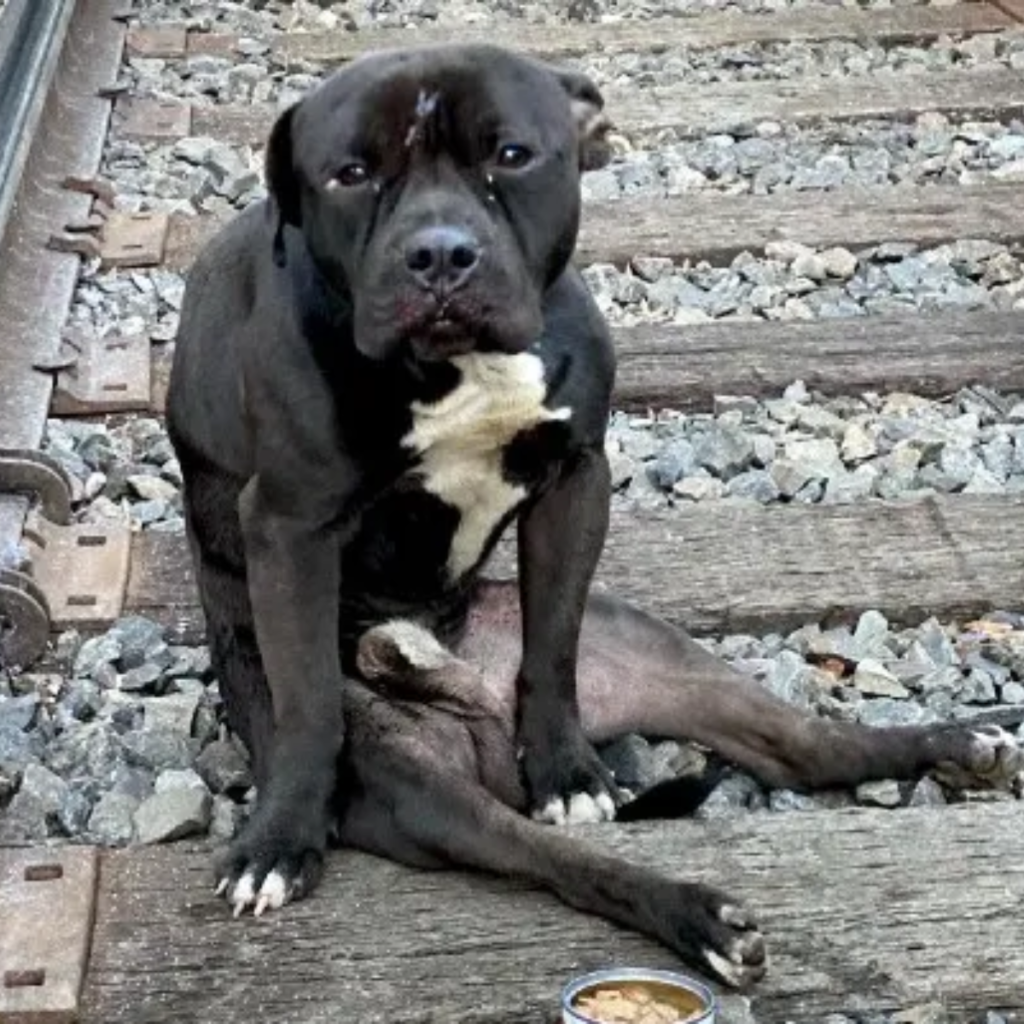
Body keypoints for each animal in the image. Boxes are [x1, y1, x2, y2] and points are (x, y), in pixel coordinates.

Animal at [167, 44, 1024, 987]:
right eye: (351, 174)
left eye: (512, 155)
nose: (439, 254)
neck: (464, 368)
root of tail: (457, 678)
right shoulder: (291, 529)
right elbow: (311, 701)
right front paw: (281, 839)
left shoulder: (577, 481)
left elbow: (554, 640)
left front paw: (566, 766)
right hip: (414, 785)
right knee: (544, 853)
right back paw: (701, 917)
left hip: (670, 661)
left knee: (804, 747)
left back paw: (956, 744)